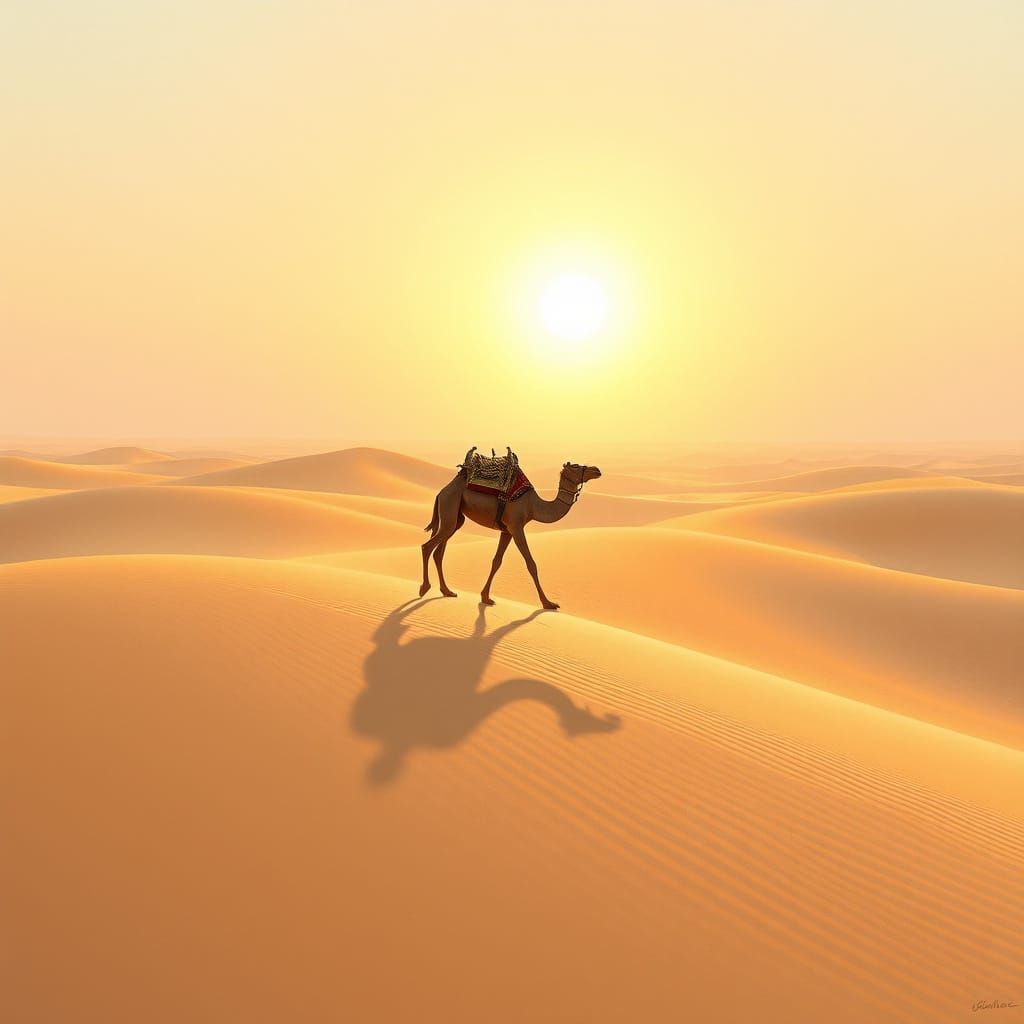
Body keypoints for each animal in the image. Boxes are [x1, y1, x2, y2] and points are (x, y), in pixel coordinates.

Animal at [420, 452, 602, 609]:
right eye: (576, 466)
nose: (597, 470)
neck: (533, 506)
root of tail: (441, 492)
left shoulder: (506, 531)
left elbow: (497, 561)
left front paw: (486, 597)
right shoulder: (516, 527)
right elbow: (531, 564)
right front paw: (548, 603)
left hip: (456, 516)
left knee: (439, 552)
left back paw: (447, 591)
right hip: (450, 505)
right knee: (427, 547)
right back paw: (424, 588)